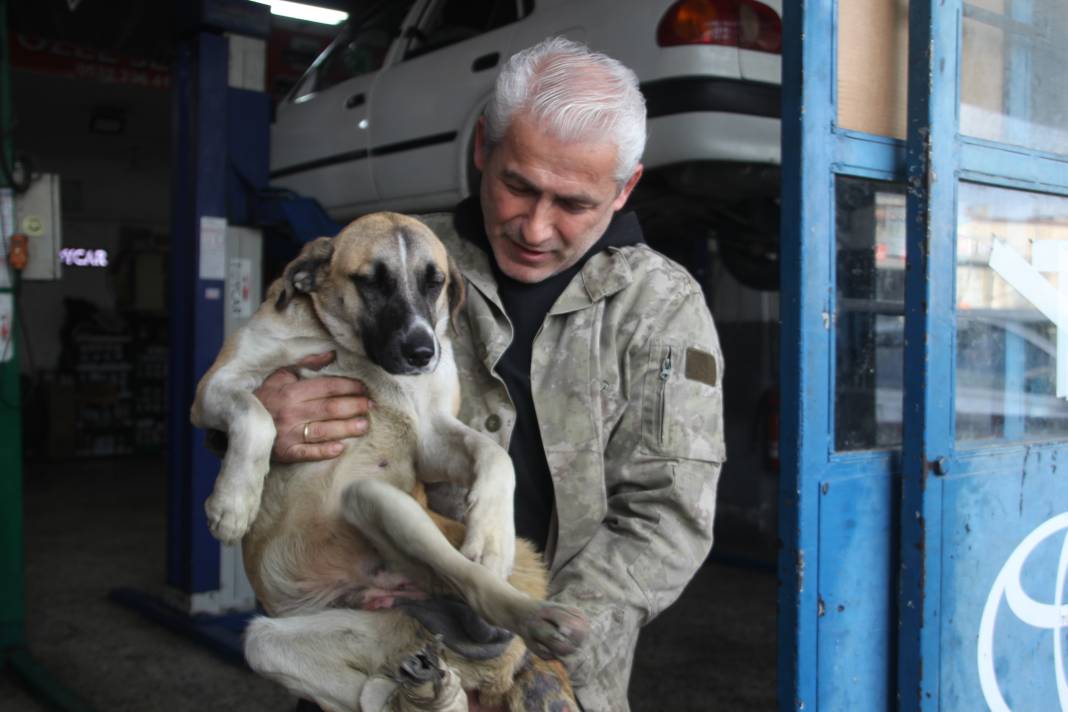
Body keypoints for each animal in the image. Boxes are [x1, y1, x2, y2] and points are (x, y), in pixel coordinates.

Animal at [193, 213, 593, 712]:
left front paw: (491, 536)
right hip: (278, 636)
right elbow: (258, 414)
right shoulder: (214, 387)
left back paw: (538, 619)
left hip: (380, 504)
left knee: (467, 579)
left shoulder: (431, 436)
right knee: (375, 689)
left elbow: (495, 454)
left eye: (434, 282)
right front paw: (232, 506)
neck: (349, 351)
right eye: (370, 281)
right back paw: (430, 689)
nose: (423, 351)